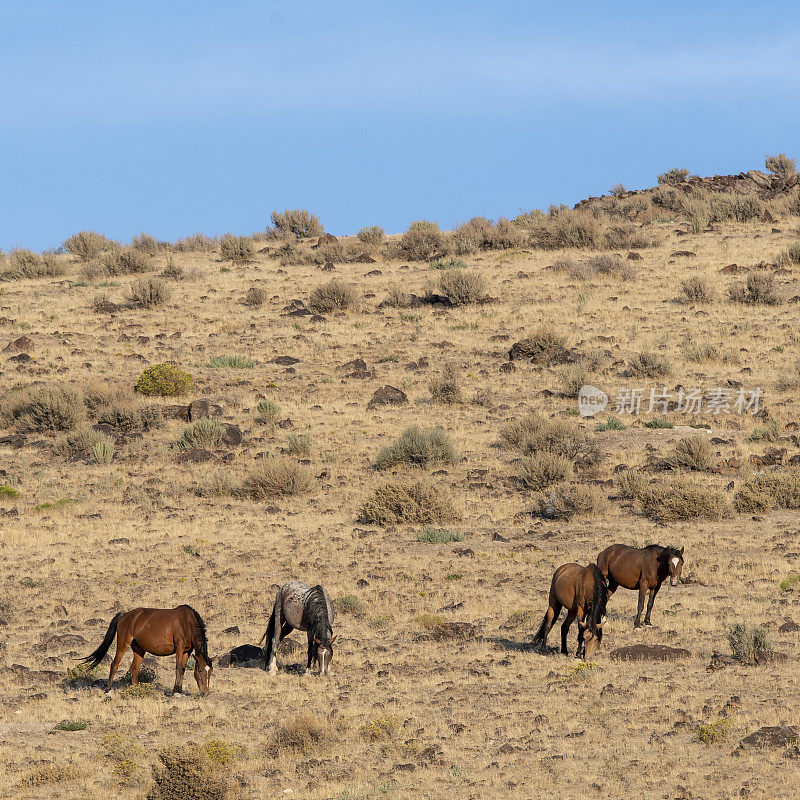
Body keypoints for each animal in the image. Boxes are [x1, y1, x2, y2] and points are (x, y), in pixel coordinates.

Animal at [79, 608, 212, 692]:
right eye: (200, 670)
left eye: (210, 672)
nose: (205, 692)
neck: (187, 623)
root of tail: (124, 615)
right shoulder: (179, 647)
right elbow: (179, 668)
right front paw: (175, 690)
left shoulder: (187, 651)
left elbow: (183, 668)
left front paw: (179, 689)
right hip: (123, 644)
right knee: (115, 664)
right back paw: (108, 689)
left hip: (139, 649)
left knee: (134, 668)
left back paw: (136, 689)